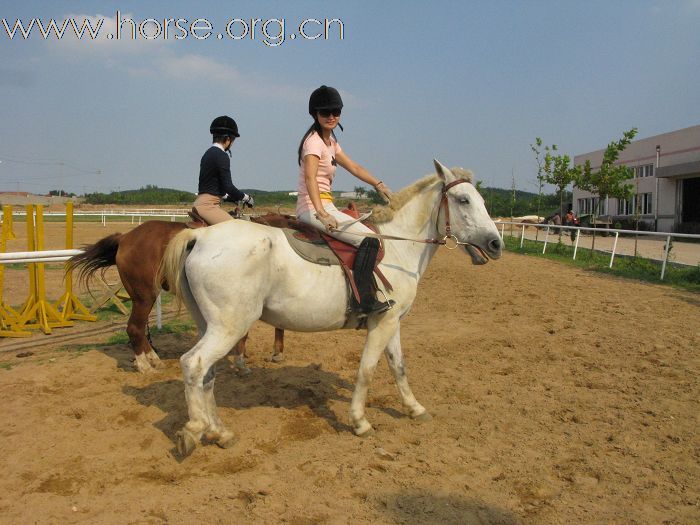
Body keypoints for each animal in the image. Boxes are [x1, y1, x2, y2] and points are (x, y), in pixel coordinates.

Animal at [66, 220, 284, 372]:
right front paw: (244, 361)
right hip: (145, 297)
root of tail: (125, 237)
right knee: (134, 328)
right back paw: (145, 366)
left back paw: (154, 360)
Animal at [163, 159, 504, 454]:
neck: (398, 248)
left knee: (207, 375)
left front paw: (415, 408)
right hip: (229, 328)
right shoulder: (382, 324)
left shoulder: (391, 322)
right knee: (194, 364)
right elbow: (367, 370)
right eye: (463, 200)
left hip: (209, 326)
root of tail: (200, 237)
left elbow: (399, 367)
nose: (496, 243)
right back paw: (194, 429)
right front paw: (360, 422)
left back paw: (220, 432)